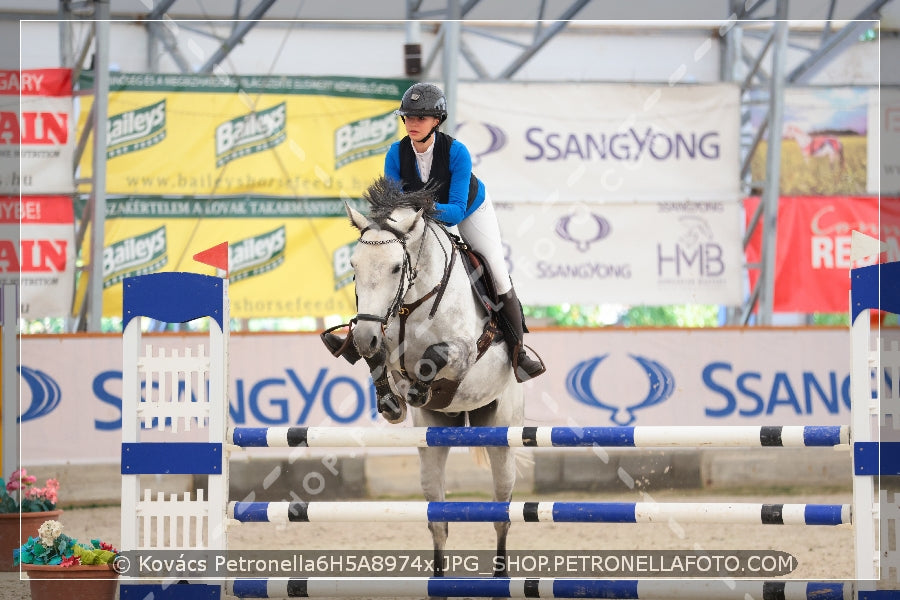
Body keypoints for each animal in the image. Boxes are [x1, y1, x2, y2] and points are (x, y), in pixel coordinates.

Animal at [348, 176, 524, 592]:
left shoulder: (463, 350)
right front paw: (391, 402)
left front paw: (419, 389)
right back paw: (439, 581)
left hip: (501, 434)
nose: (362, 336)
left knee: (501, 514)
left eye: (396, 267)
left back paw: (501, 578)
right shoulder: (385, 341)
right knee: (438, 520)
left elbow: (438, 355)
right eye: (353, 267)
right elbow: (383, 359)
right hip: (432, 441)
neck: (412, 300)